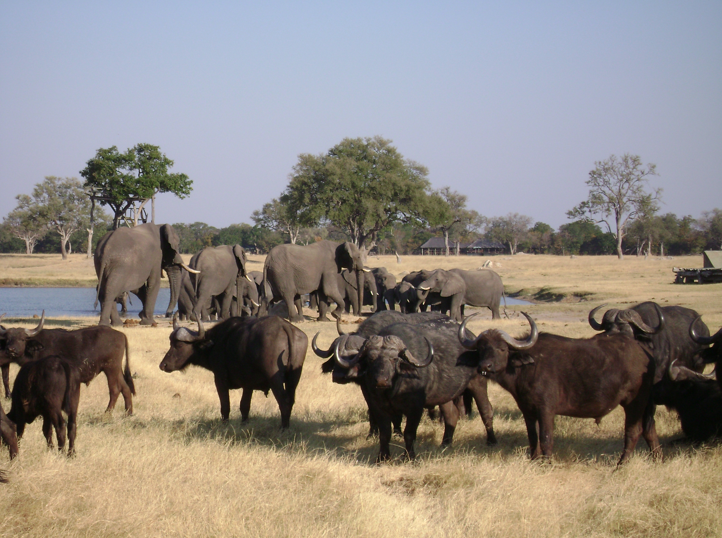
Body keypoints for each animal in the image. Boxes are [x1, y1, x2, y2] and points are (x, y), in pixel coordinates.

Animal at [0, 313, 135, 414]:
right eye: (8, 339)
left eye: (22, 339)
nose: (10, 350)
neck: (36, 349)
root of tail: (120, 334)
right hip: (117, 370)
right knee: (125, 388)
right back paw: (128, 412)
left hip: (111, 368)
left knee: (115, 389)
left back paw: (107, 412)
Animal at [160, 315, 307, 428]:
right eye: (170, 343)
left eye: (179, 345)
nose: (163, 365)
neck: (216, 343)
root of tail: (285, 326)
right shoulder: (248, 384)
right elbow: (244, 406)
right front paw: (244, 424)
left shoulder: (220, 379)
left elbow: (225, 406)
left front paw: (224, 424)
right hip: (294, 378)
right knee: (290, 400)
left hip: (275, 379)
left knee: (284, 401)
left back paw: (283, 428)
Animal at [459, 313, 661, 465]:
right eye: (481, 348)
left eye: (502, 349)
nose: (485, 366)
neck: (528, 367)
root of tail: (645, 354)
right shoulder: (527, 410)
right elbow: (532, 437)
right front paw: (534, 460)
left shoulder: (546, 409)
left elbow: (546, 437)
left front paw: (547, 463)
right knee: (649, 429)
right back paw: (656, 458)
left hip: (635, 403)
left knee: (633, 432)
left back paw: (621, 464)